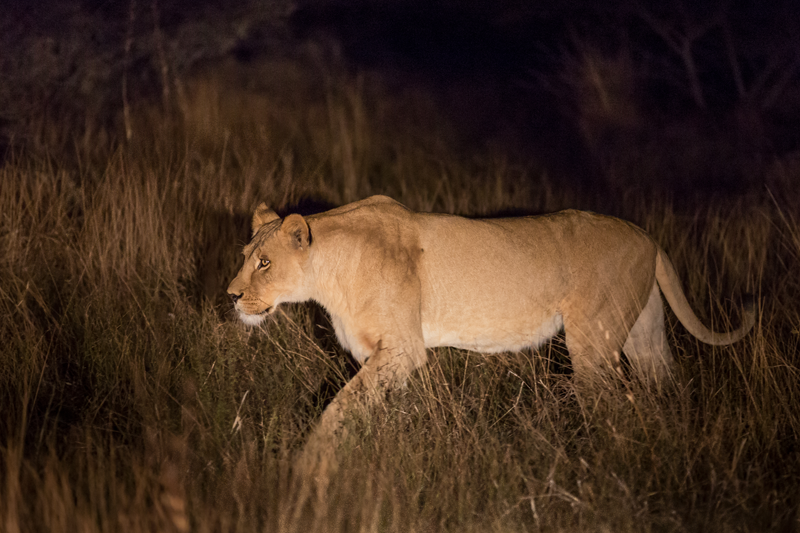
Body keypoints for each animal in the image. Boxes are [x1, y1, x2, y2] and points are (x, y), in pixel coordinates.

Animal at [227, 195, 755, 444]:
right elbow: (376, 409)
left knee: (615, 405)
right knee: (665, 387)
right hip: (644, 336)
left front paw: (311, 467)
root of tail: (649, 237)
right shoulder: (382, 356)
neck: (328, 270)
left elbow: (337, 408)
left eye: (265, 263)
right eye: (245, 257)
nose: (231, 297)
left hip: (593, 343)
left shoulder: (402, 349)